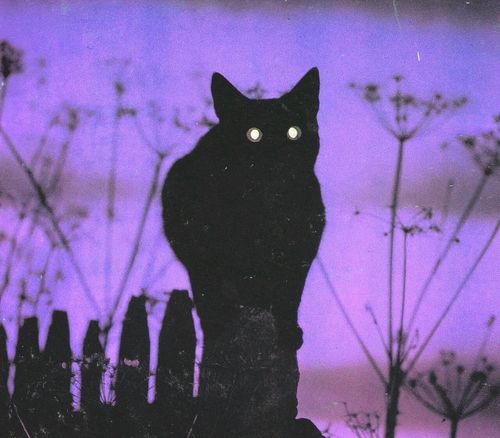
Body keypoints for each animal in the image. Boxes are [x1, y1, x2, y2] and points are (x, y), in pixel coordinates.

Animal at [160, 66, 324, 350]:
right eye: (253, 134)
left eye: (294, 132)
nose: (278, 153)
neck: (265, 208)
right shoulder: (201, 252)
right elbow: (210, 290)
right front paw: (217, 325)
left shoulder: (301, 249)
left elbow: (289, 295)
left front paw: (289, 332)